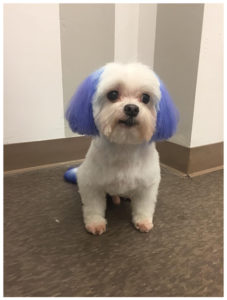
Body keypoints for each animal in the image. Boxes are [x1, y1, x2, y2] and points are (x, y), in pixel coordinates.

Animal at [64, 62, 179, 234]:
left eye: (146, 98)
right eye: (112, 94)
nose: (131, 108)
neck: (125, 145)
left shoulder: (148, 185)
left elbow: (144, 206)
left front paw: (143, 221)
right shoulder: (90, 183)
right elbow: (93, 207)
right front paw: (95, 223)